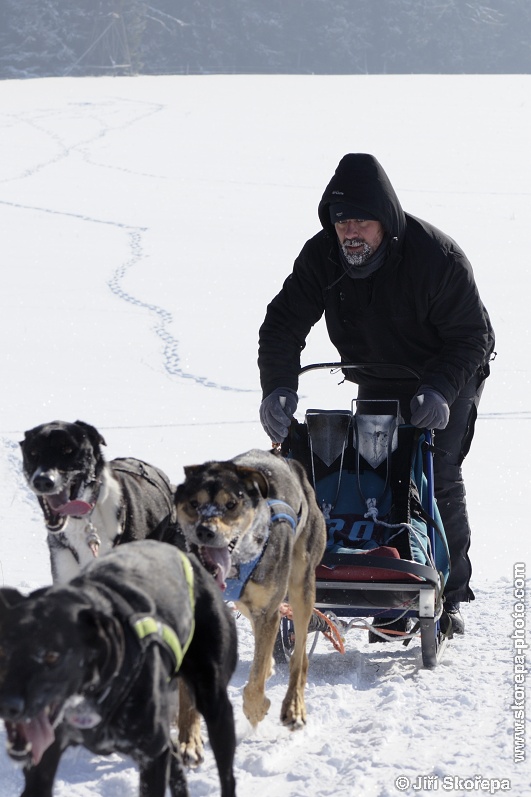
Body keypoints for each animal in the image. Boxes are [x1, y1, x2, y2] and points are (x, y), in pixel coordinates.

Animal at [0, 536, 237, 792]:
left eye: (52, 656)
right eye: (3, 649)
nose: (7, 706)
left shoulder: (152, 756)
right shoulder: (43, 761)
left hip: (215, 706)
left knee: (227, 775)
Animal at [175, 448, 328, 740]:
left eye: (231, 504)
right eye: (193, 503)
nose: (205, 531)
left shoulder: (267, 610)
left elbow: (255, 681)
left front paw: (256, 707)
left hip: (301, 582)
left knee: (299, 657)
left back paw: (293, 706)